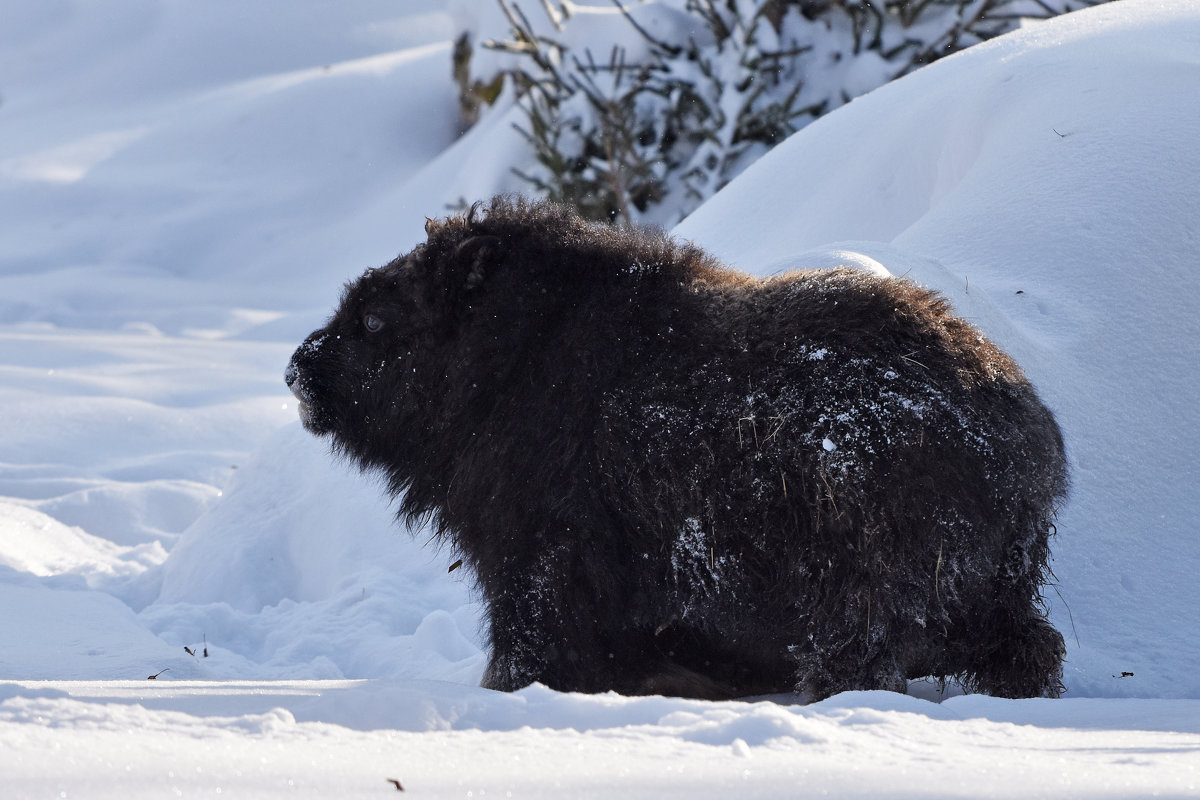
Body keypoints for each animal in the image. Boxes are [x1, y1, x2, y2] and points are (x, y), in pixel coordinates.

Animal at [285, 199, 1065, 700]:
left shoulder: (538, 554)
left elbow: (531, 639)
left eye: (377, 318)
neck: (508, 362)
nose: (297, 372)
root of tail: (1026, 436)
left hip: (864, 592)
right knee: (1031, 649)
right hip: (995, 607)